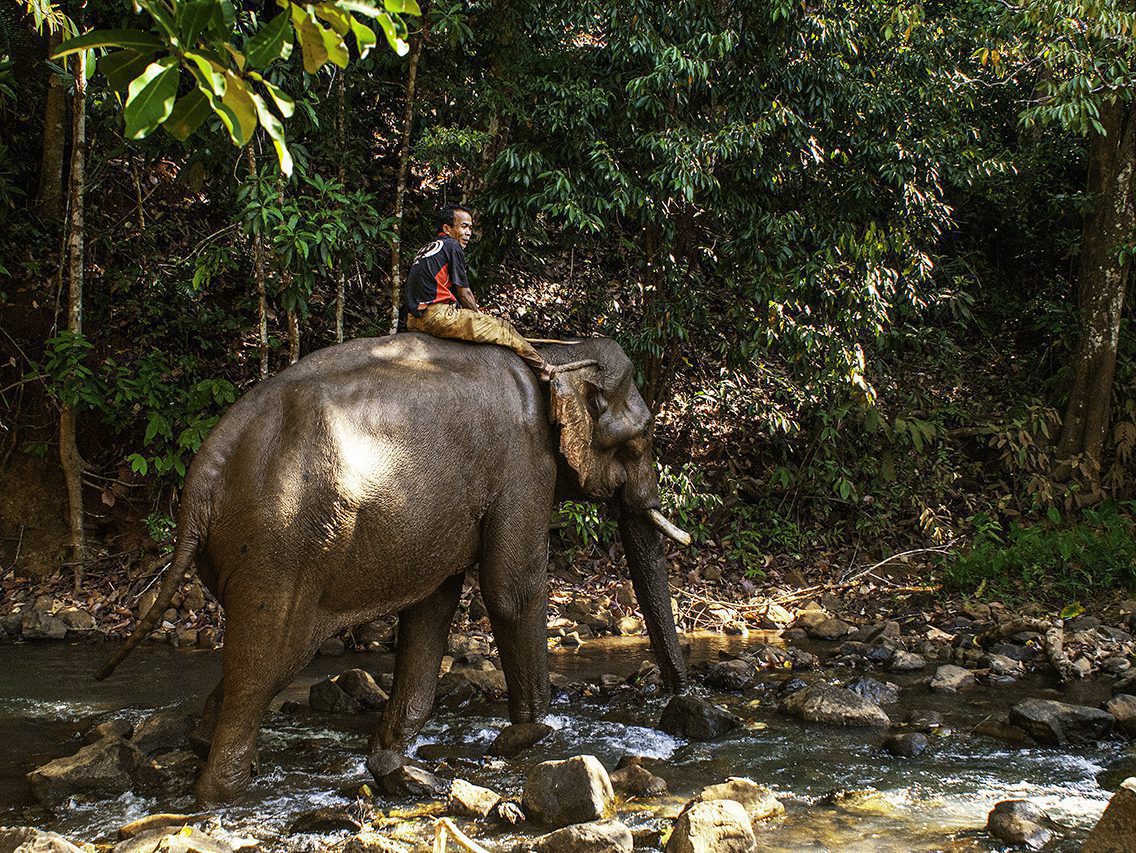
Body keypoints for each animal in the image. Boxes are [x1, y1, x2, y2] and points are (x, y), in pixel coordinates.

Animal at [96, 333, 689, 803]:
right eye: (641, 441)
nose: (682, 700)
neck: (553, 354)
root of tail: (202, 477)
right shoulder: (525, 466)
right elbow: (510, 590)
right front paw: (527, 737)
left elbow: (434, 604)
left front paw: (389, 754)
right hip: (279, 550)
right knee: (266, 663)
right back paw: (221, 793)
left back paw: (206, 746)